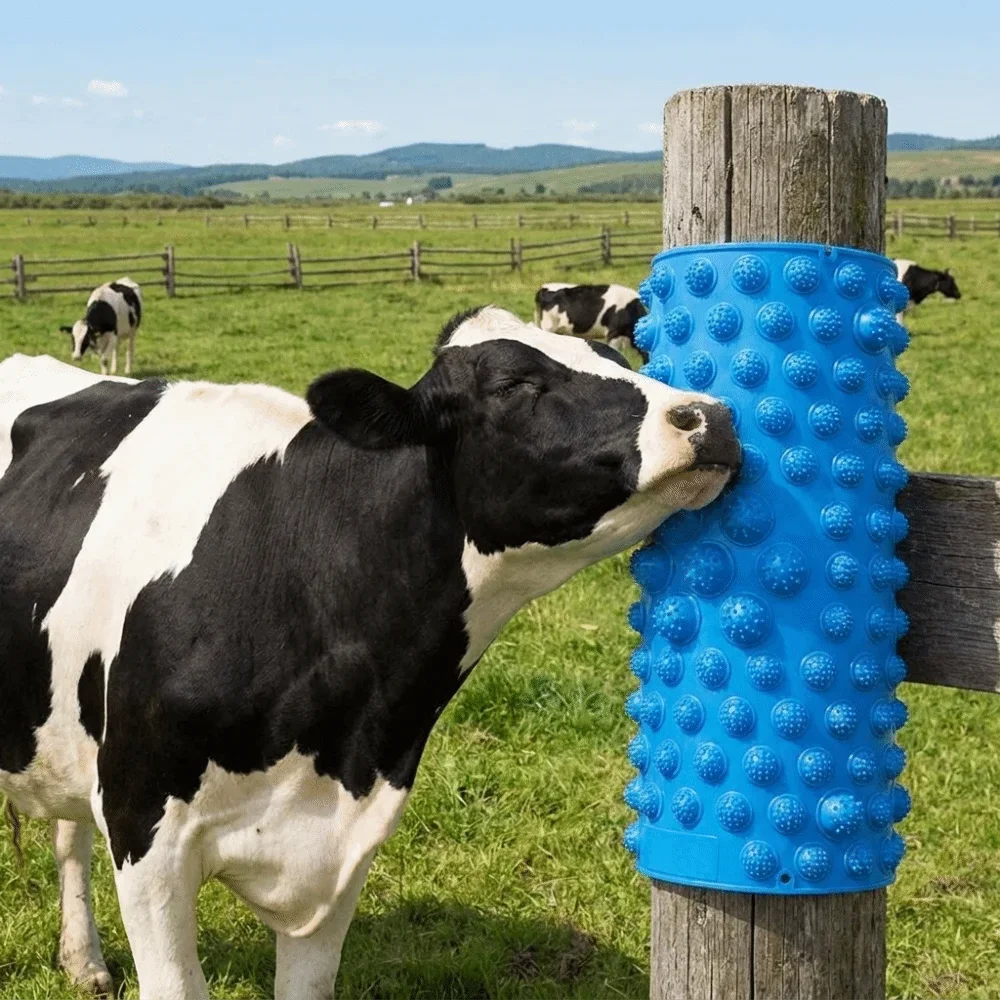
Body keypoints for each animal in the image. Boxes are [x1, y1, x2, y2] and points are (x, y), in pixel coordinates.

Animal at [0, 306, 739, 1000]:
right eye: (512, 383)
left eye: (617, 357)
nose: (710, 416)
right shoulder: (143, 825)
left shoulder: (338, 851)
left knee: (68, 834)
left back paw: (83, 962)